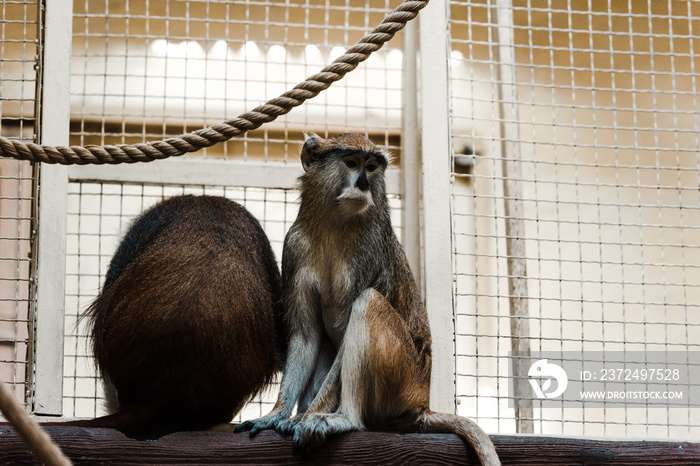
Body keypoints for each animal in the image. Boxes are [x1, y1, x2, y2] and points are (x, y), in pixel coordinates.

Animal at [238, 133, 500, 464]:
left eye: (372, 167)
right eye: (352, 163)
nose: (363, 184)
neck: (335, 225)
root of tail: (422, 404)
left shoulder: (370, 249)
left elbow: (349, 328)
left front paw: (307, 417)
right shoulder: (294, 247)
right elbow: (306, 337)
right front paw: (277, 414)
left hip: (403, 380)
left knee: (368, 302)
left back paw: (344, 418)